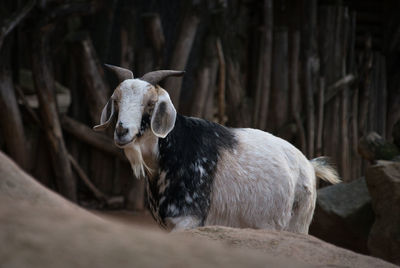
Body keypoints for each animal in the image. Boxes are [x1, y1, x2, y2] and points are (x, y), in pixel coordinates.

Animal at [94, 64, 340, 232]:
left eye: (151, 104)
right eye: (116, 101)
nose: (122, 131)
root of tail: (309, 165)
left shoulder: (189, 220)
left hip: (298, 223)